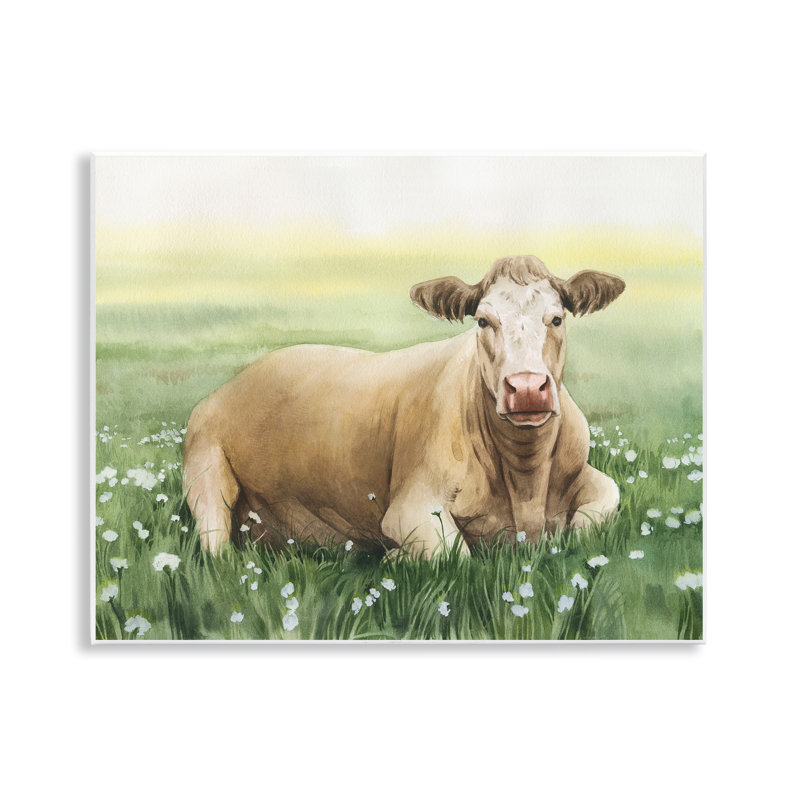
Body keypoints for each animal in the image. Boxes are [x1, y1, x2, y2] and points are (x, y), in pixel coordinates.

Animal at [183, 255, 625, 557]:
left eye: (556, 319)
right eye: (483, 321)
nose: (528, 387)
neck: (525, 484)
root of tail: (235, 381)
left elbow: (601, 506)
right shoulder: (411, 506)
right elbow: (455, 555)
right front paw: (393, 557)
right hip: (205, 470)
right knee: (217, 551)